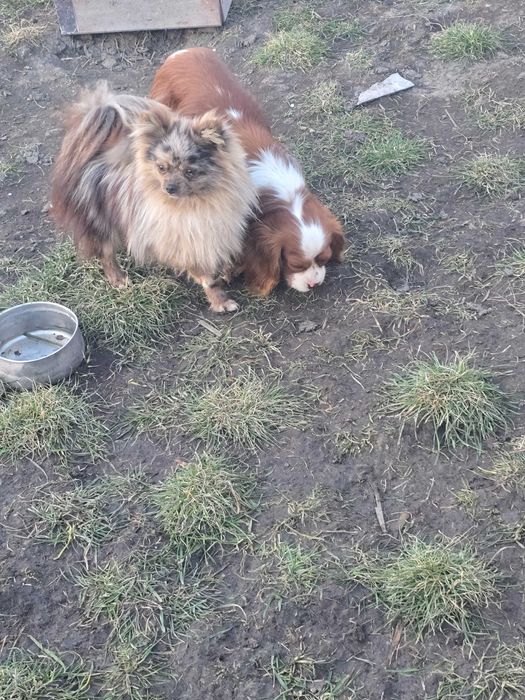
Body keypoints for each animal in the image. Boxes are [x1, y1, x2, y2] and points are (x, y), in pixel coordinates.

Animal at [51, 81, 257, 312]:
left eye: (189, 172)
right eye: (162, 168)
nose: (169, 187)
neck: (197, 203)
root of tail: (90, 156)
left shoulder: (217, 231)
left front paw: (227, 271)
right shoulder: (187, 243)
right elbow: (207, 278)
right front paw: (220, 301)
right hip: (99, 220)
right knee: (105, 252)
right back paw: (118, 278)